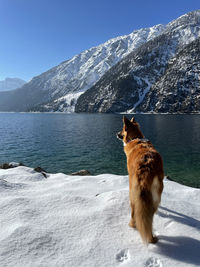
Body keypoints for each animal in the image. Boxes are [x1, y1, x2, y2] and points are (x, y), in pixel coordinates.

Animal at [117, 116, 164, 244]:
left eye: (122, 129)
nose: (116, 134)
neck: (135, 138)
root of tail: (148, 166)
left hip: (134, 193)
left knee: (134, 211)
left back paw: (132, 225)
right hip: (158, 191)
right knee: (150, 215)